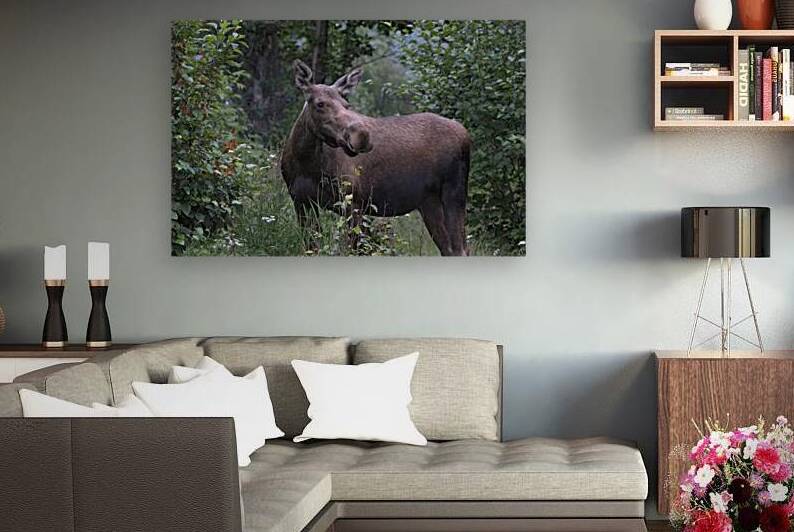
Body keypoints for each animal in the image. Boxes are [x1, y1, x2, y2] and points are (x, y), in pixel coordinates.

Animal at [280, 60, 471, 256]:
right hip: (429, 202)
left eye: (346, 104)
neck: (305, 163)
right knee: (449, 248)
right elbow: (312, 247)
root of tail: (465, 134)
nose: (362, 135)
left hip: (454, 193)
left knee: (461, 248)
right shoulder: (301, 201)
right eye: (320, 103)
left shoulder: (353, 201)